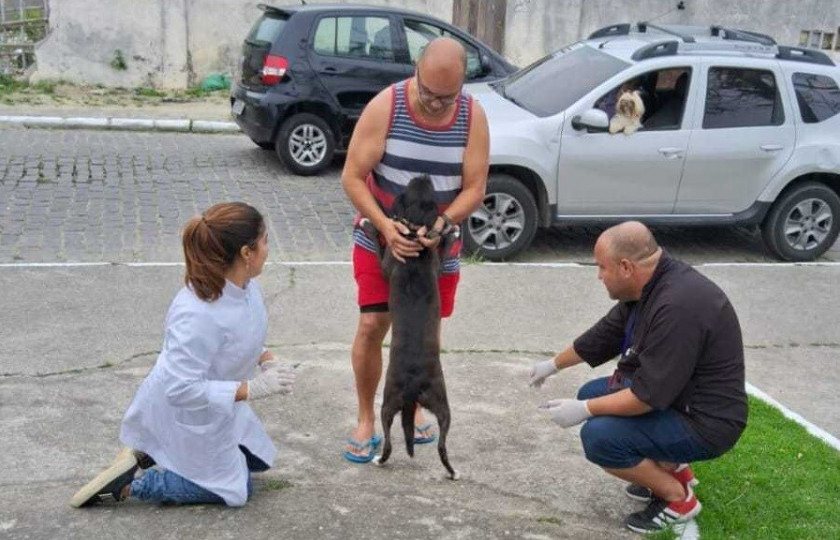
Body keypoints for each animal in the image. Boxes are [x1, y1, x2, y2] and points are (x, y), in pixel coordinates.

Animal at [362, 175, 459, 479]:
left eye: (412, 188)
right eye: (421, 188)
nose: (423, 175)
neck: (415, 231)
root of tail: (414, 385)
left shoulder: (388, 263)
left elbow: (379, 244)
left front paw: (370, 224)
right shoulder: (435, 264)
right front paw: (448, 231)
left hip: (388, 400)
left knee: (389, 440)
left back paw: (379, 460)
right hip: (442, 406)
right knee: (442, 443)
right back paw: (452, 471)